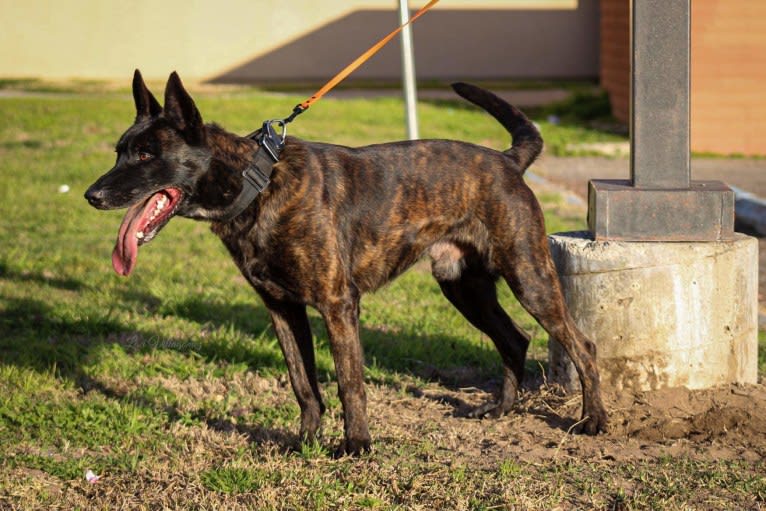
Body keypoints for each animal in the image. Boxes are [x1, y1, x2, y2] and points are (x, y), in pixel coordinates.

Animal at [85, 71, 612, 456]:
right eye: (119, 152)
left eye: (147, 154)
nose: (92, 195)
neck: (257, 184)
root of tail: (507, 160)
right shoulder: (282, 310)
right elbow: (303, 383)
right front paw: (305, 442)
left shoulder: (338, 305)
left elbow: (349, 382)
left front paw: (357, 445)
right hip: (463, 286)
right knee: (514, 339)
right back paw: (500, 409)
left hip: (529, 277)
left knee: (582, 345)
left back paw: (593, 420)